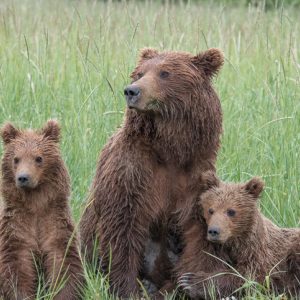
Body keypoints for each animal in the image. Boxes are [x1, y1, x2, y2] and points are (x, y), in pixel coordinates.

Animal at [81, 47, 224, 298]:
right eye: (139, 73)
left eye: (164, 73)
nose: (131, 90)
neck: (171, 149)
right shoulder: (132, 170)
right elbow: (122, 226)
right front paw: (126, 288)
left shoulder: (196, 176)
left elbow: (197, 230)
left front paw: (188, 284)